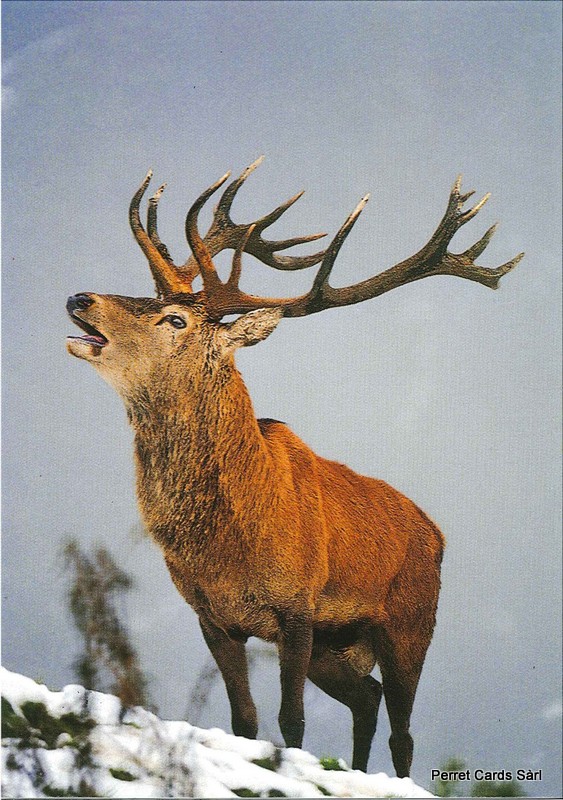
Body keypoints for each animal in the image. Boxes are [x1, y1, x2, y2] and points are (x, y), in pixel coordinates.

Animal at [66, 157, 523, 775]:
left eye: (176, 320)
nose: (80, 298)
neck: (229, 547)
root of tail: (436, 532)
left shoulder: (298, 607)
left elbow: (293, 721)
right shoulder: (212, 616)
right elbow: (244, 719)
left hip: (410, 620)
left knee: (403, 730)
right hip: (339, 649)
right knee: (367, 698)